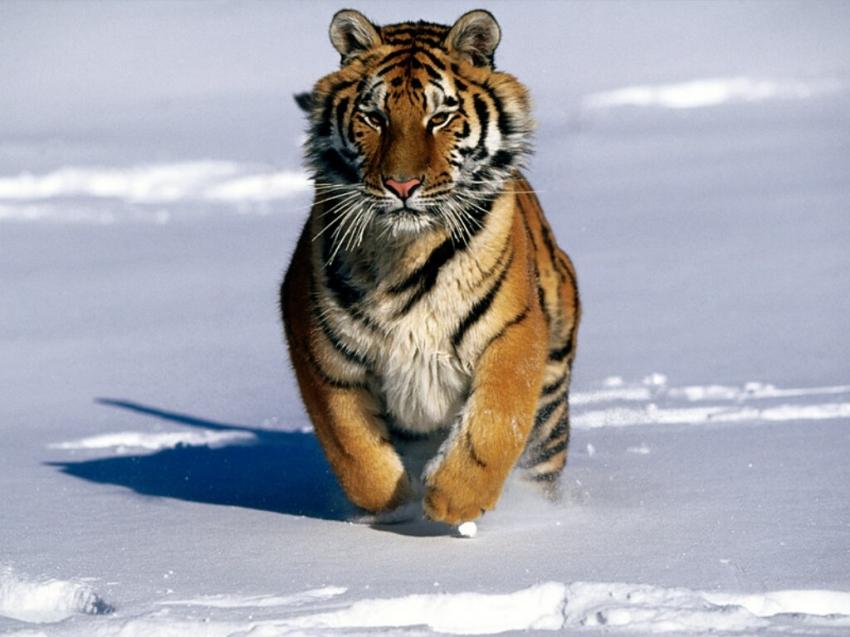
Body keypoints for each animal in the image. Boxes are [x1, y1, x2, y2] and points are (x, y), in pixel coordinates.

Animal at [281, 9, 579, 525]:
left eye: (440, 117)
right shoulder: (320, 348)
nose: (402, 185)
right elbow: (351, 446)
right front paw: (394, 505)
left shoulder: (514, 332)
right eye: (374, 117)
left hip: (551, 399)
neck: (405, 251)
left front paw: (453, 499)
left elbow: (496, 420)